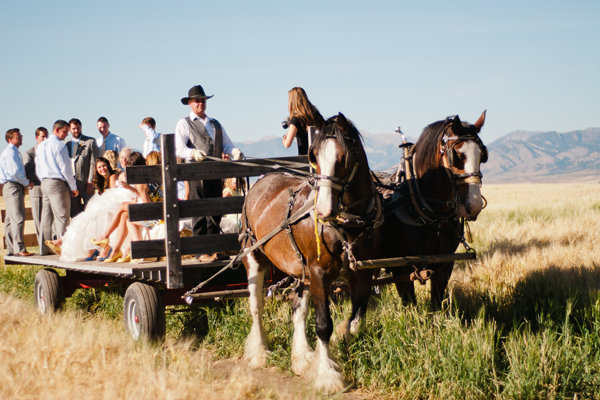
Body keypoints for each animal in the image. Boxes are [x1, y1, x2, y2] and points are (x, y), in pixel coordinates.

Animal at [238, 112, 380, 394]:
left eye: (343, 157)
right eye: (313, 156)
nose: (323, 210)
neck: (346, 223)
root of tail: (263, 179)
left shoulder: (362, 272)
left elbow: (356, 321)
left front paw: (337, 345)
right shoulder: (318, 272)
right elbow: (324, 324)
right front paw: (328, 375)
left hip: (301, 270)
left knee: (297, 309)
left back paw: (301, 357)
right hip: (254, 258)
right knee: (256, 307)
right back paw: (259, 352)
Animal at [382, 110, 490, 306]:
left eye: (483, 155)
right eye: (457, 155)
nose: (474, 205)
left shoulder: (445, 264)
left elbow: (436, 304)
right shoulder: (400, 268)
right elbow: (410, 305)